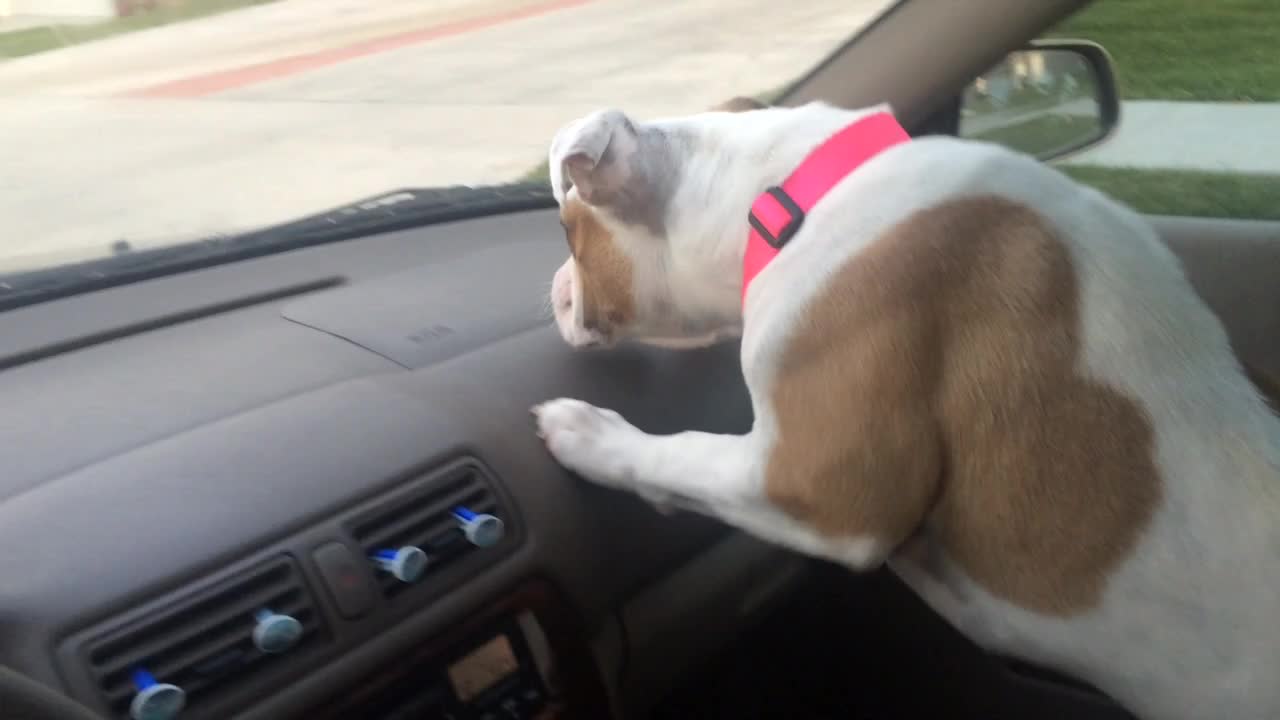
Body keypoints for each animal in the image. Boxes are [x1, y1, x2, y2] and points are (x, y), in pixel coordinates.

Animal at [529, 96, 1280, 717]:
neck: (786, 197)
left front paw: (588, 434)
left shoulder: (819, 491)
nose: (553, 286)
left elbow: (681, 453)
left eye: (568, 234)